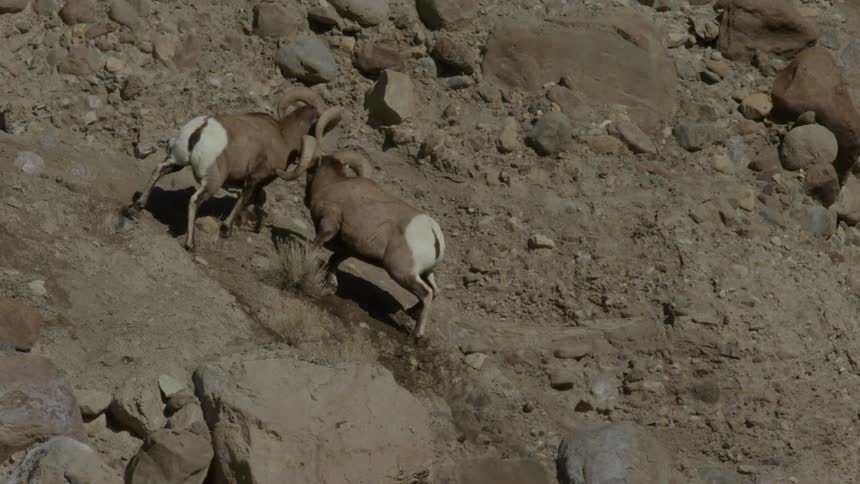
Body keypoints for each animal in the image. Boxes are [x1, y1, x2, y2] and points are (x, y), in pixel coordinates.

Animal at [122, 87, 343, 252]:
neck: (283, 136)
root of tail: (201, 129)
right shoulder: (255, 179)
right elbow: (243, 200)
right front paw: (226, 230)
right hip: (212, 182)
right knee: (194, 200)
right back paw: (191, 245)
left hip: (177, 161)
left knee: (158, 170)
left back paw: (136, 207)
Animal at [276, 137, 446, 340]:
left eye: (310, 170)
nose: (305, 199)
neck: (332, 186)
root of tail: (433, 233)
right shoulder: (349, 248)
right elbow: (333, 260)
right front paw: (331, 286)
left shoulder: (328, 228)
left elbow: (314, 249)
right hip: (426, 273)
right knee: (434, 291)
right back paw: (411, 312)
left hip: (401, 273)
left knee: (427, 294)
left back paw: (416, 335)